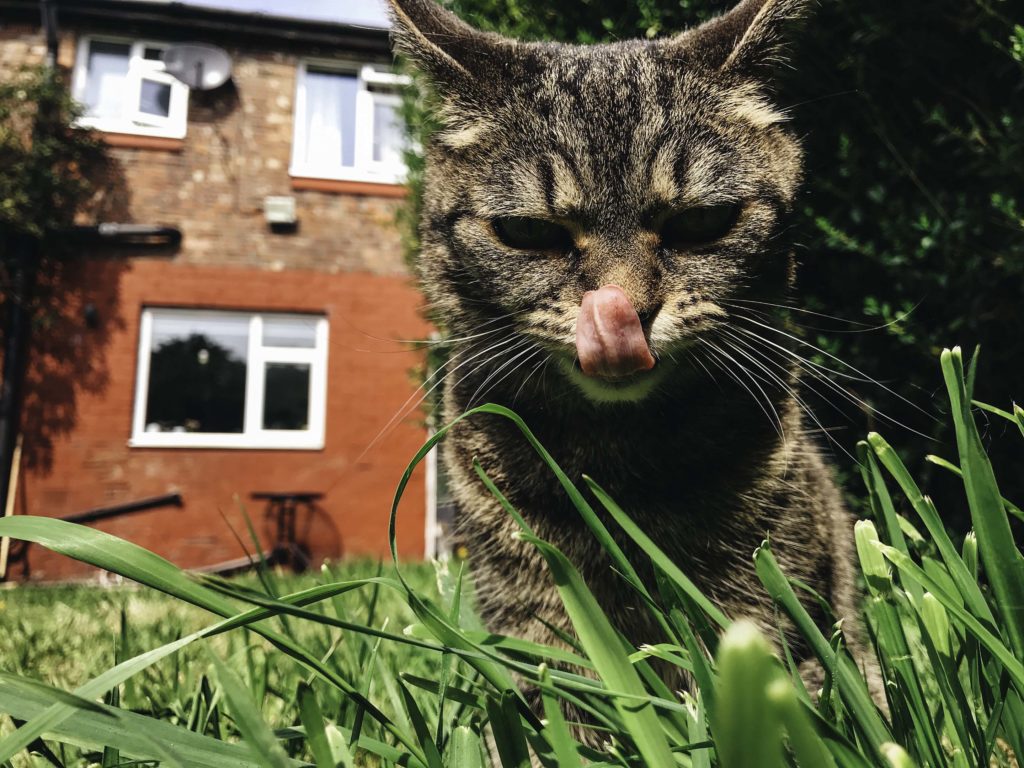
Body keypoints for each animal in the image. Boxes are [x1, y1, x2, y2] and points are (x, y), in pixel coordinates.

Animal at [387, 0, 868, 708]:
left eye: (701, 223)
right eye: (527, 232)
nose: (624, 315)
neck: (617, 463)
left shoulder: (770, 602)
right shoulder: (533, 616)